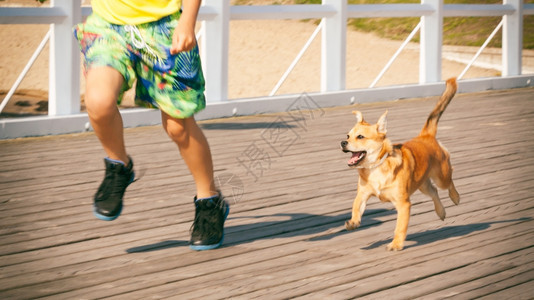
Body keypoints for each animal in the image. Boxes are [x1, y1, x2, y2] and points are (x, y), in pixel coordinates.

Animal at [344, 78, 460, 251]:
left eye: (360, 137)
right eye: (348, 136)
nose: (342, 143)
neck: (376, 167)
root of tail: (425, 135)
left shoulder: (403, 204)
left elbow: (400, 227)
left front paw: (396, 244)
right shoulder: (363, 195)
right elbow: (356, 208)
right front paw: (353, 222)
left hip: (442, 177)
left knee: (449, 182)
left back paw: (455, 197)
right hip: (422, 184)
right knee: (434, 192)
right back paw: (441, 212)